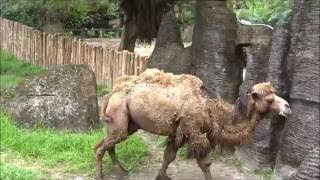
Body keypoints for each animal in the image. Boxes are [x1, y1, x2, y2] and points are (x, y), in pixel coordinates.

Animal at [94, 68, 292, 180]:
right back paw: (100, 176)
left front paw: (162, 176)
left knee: (108, 144)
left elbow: (169, 156)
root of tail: (113, 92)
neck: (212, 109)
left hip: (129, 124)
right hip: (119, 115)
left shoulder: (178, 132)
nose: (288, 107)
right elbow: (205, 163)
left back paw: (122, 171)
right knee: (101, 147)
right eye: (269, 99)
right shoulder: (194, 131)